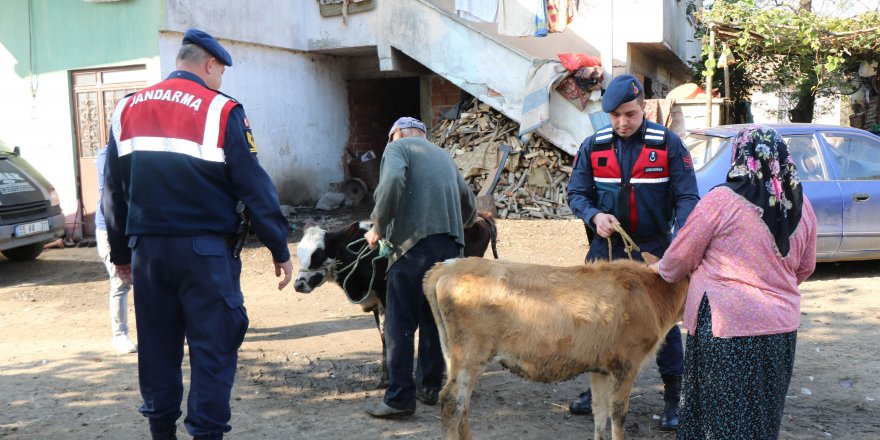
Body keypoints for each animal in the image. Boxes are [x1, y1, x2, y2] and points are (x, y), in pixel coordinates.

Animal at [296, 213, 498, 384]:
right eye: (299, 255)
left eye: (318, 255)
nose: (298, 285)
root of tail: (482, 216)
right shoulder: (376, 302)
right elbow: (382, 334)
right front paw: (383, 377)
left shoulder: (388, 298)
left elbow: (390, 333)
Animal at [422, 254, 692, 440]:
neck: (650, 294)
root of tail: (449, 266)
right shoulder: (626, 365)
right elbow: (617, 414)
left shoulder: (601, 368)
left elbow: (599, 412)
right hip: (470, 354)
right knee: (451, 402)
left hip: (454, 354)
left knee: (463, 405)